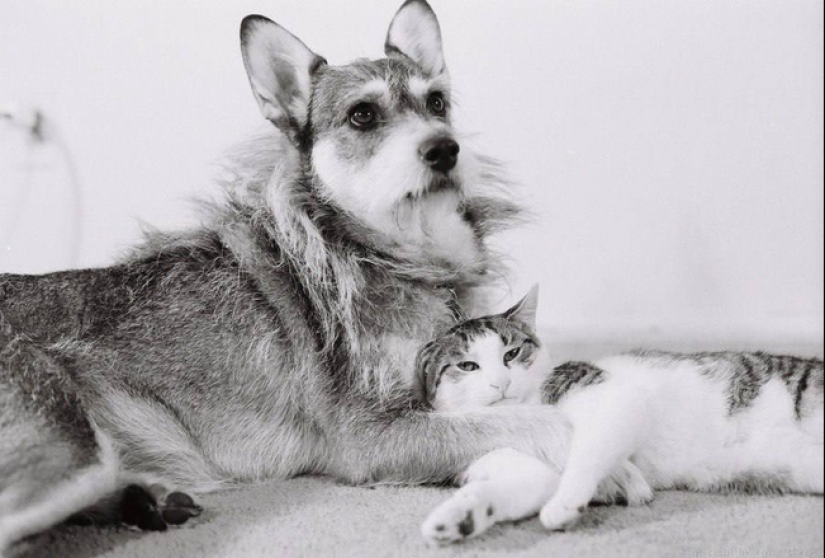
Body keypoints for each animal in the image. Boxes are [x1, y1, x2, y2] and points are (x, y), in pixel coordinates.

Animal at [0, 0, 632, 552]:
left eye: (437, 102)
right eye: (362, 115)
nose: (446, 149)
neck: (402, 255)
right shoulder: (373, 435)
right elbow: (525, 418)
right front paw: (608, 462)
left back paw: (150, 500)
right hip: (73, 449)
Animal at [416, 288, 820, 548]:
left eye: (512, 354)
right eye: (468, 366)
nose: (501, 383)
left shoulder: (611, 396)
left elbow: (586, 454)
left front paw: (565, 505)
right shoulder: (495, 457)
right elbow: (522, 484)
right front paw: (458, 519)